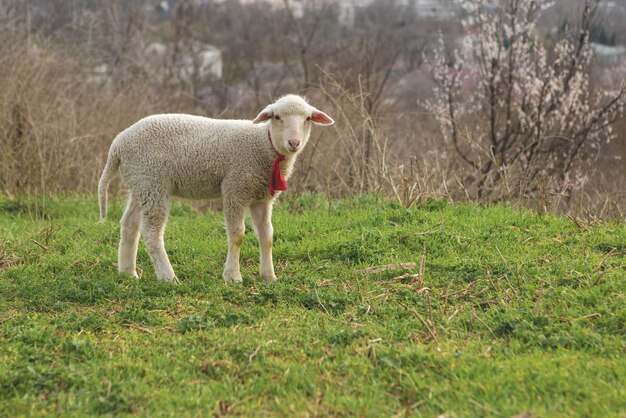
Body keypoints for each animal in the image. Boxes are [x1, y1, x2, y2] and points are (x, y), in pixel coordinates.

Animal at [97, 94, 332, 284]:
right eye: (277, 117)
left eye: (308, 119)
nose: (294, 143)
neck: (262, 146)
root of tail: (118, 144)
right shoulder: (235, 188)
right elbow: (237, 235)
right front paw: (233, 276)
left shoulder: (262, 198)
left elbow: (267, 236)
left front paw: (269, 276)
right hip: (152, 181)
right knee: (151, 233)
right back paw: (168, 277)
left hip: (141, 183)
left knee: (129, 225)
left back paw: (128, 272)